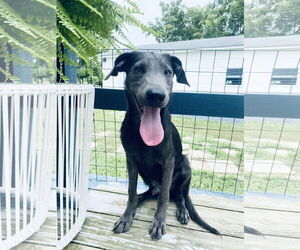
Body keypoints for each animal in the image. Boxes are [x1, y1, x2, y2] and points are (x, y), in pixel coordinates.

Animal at [105, 51, 220, 240]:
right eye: (138, 69)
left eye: (168, 72)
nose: (156, 95)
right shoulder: (131, 161)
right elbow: (131, 192)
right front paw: (126, 217)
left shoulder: (168, 162)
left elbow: (164, 197)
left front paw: (159, 222)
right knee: (150, 192)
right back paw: (142, 198)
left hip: (185, 166)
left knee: (178, 195)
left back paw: (182, 211)